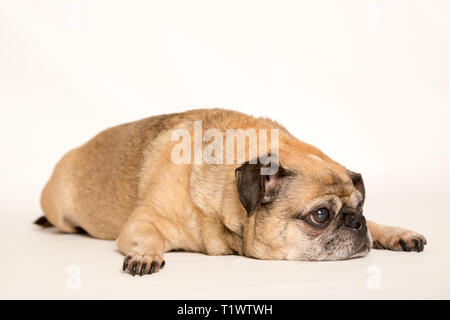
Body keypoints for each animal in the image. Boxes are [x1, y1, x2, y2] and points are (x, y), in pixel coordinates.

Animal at [37, 109, 428, 276]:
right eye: (320, 216)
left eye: (360, 207)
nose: (356, 223)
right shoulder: (142, 223)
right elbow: (150, 238)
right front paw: (146, 254)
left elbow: (381, 225)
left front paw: (393, 232)